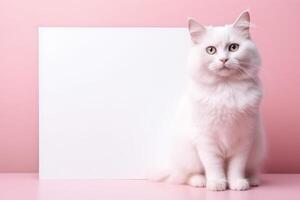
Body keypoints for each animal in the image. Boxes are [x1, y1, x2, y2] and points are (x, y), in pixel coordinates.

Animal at [151, 10, 266, 191]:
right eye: (211, 50)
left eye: (233, 47)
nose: (223, 60)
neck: (226, 88)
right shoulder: (206, 140)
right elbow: (214, 165)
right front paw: (217, 183)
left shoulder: (244, 139)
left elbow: (236, 167)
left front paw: (237, 183)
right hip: (189, 156)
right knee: (187, 176)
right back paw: (201, 181)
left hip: (256, 149)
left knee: (251, 169)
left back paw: (252, 180)